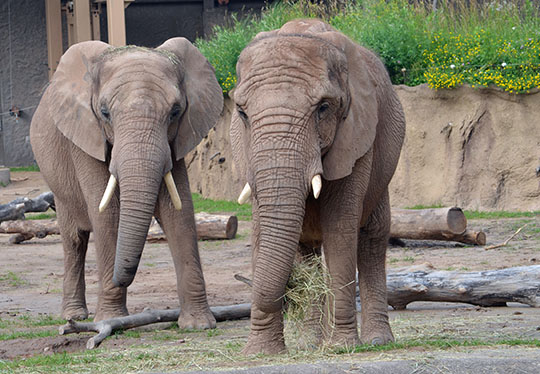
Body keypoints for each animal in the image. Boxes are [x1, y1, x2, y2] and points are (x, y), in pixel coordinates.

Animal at [30, 37, 221, 328]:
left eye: (175, 112)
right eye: (105, 113)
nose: (121, 278)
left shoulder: (176, 142)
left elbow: (180, 213)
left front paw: (199, 324)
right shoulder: (85, 138)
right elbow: (108, 214)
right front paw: (110, 319)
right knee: (74, 240)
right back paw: (74, 316)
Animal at [231, 19, 404, 354]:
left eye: (323, 108)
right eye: (242, 112)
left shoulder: (354, 136)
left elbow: (340, 228)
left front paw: (342, 347)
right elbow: (261, 228)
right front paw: (261, 352)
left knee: (373, 237)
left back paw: (376, 340)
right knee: (306, 247)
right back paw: (311, 344)